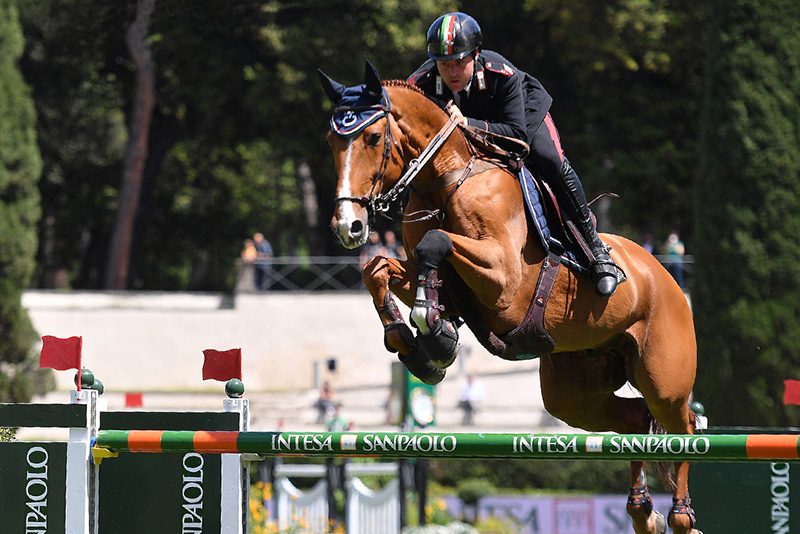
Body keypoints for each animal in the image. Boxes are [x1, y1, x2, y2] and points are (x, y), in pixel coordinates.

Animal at [318, 60, 700, 534]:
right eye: (332, 140)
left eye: (372, 137)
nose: (347, 226)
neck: (446, 180)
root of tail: (666, 278)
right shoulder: (436, 275)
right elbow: (380, 270)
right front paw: (415, 343)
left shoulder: (504, 280)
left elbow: (435, 244)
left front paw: (434, 331)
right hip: (574, 392)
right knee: (636, 420)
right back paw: (642, 512)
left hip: (662, 377)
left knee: (682, 423)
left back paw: (680, 515)